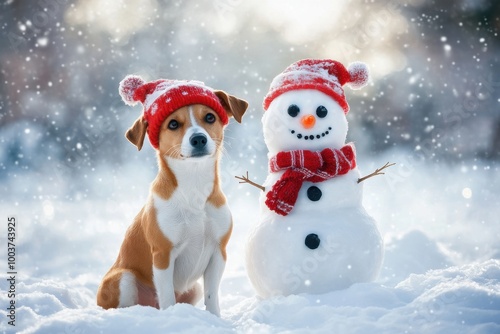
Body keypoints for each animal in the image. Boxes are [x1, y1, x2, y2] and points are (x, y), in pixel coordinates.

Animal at [96, 75, 248, 316]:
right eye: (173, 124)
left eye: (210, 117)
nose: (198, 139)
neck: (194, 187)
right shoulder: (163, 255)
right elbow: (167, 296)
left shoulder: (218, 252)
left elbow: (212, 295)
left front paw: (215, 318)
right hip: (123, 278)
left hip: (193, 288)